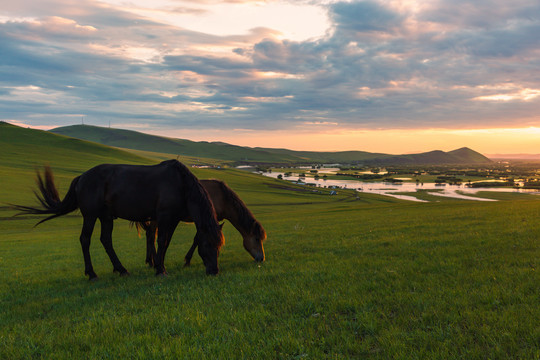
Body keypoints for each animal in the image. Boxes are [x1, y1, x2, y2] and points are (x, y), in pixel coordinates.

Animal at [13, 159, 224, 280]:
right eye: (207, 244)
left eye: (219, 246)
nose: (214, 271)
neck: (180, 184)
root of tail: (82, 177)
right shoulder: (165, 217)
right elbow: (162, 242)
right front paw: (160, 270)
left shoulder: (172, 220)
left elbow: (164, 243)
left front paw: (157, 265)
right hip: (90, 216)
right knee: (85, 240)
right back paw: (92, 274)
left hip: (106, 217)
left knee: (106, 240)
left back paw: (121, 269)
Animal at [136, 179, 266, 268]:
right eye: (257, 239)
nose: (261, 258)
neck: (222, 198)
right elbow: (197, 239)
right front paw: (187, 260)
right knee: (151, 236)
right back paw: (153, 262)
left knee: (150, 234)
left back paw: (150, 261)